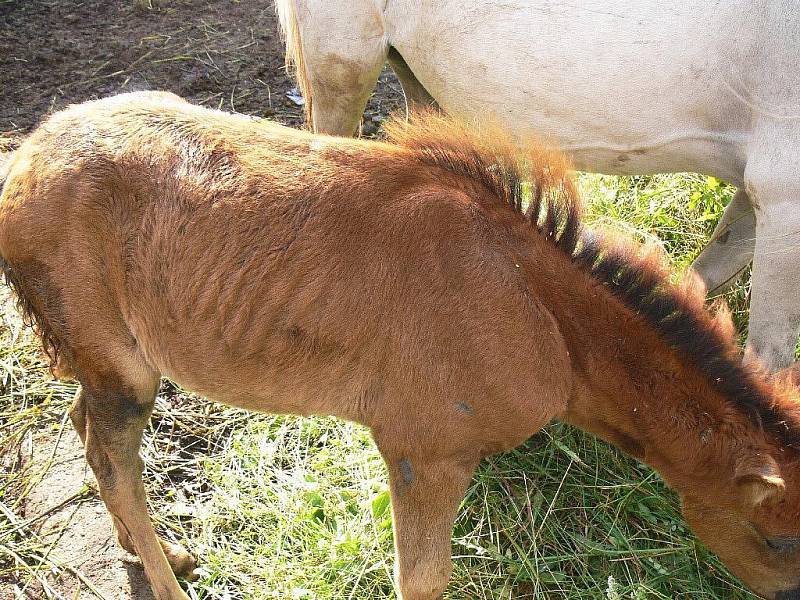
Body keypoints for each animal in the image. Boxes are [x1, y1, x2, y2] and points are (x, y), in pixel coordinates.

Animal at [1, 90, 800, 600]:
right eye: (780, 541)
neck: (545, 317)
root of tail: (25, 157)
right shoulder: (426, 452)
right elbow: (422, 581)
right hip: (121, 366)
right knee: (115, 462)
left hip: (101, 361)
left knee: (85, 429)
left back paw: (158, 552)